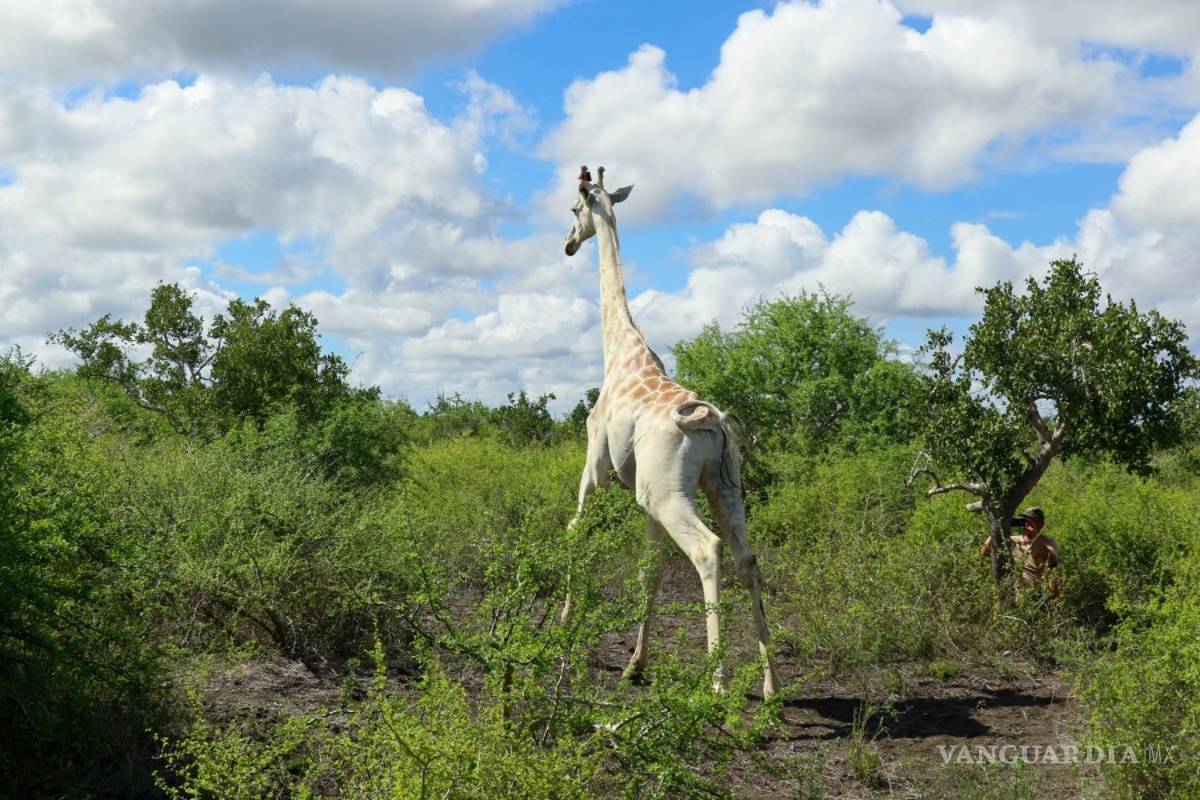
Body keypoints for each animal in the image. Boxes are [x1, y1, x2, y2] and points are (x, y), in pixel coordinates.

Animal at [562, 165, 779, 697]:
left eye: (574, 209)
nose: (568, 244)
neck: (618, 349)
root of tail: (712, 422)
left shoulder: (596, 470)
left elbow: (576, 530)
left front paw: (563, 626)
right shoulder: (644, 499)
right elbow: (650, 572)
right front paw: (634, 665)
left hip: (669, 492)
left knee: (708, 550)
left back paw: (718, 684)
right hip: (721, 484)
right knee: (747, 558)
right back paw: (771, 688)